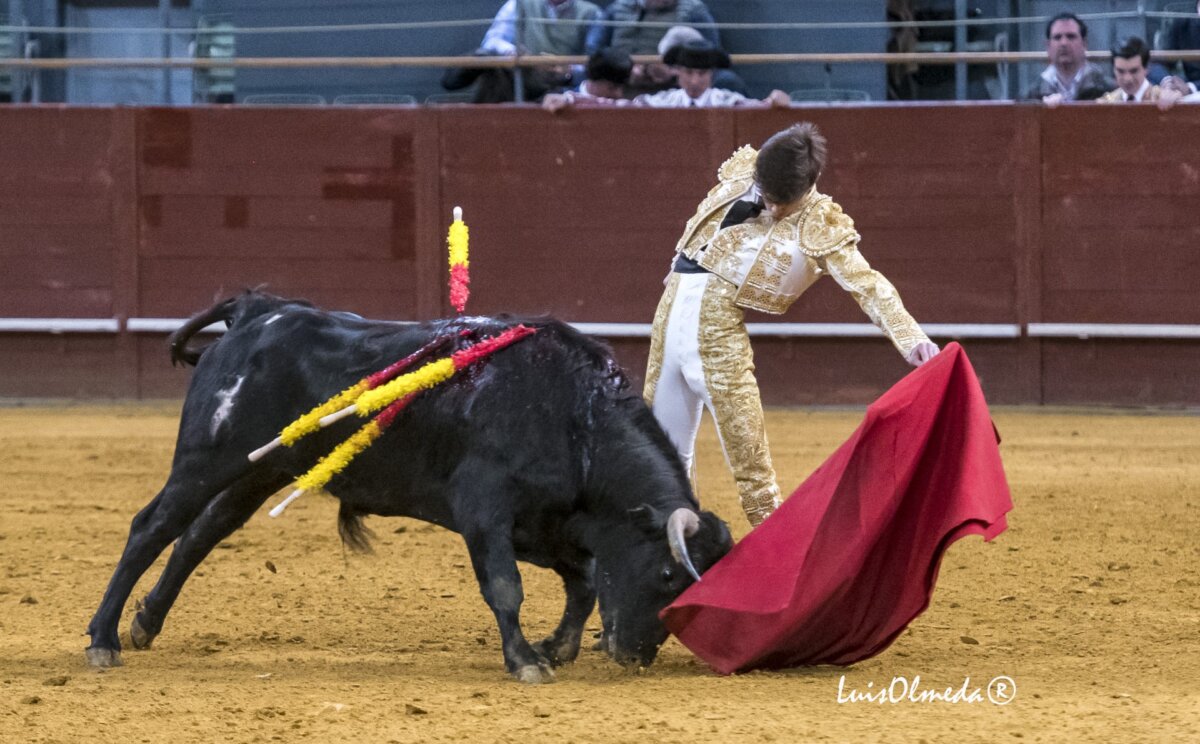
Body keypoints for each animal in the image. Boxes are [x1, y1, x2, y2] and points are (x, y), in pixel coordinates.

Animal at [85, 291, 733, 683]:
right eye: (668, 573)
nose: (636, 657)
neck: (576, 418)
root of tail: (257, 311)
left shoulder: (547, 525)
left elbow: (586, 582)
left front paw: (556, 648)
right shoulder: (485, 513)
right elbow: (507, 587)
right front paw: (526, 660)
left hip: (259, 472)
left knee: (198, 536)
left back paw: (144, 625)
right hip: (206, 459)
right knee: (151, 529)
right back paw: (103, 639)